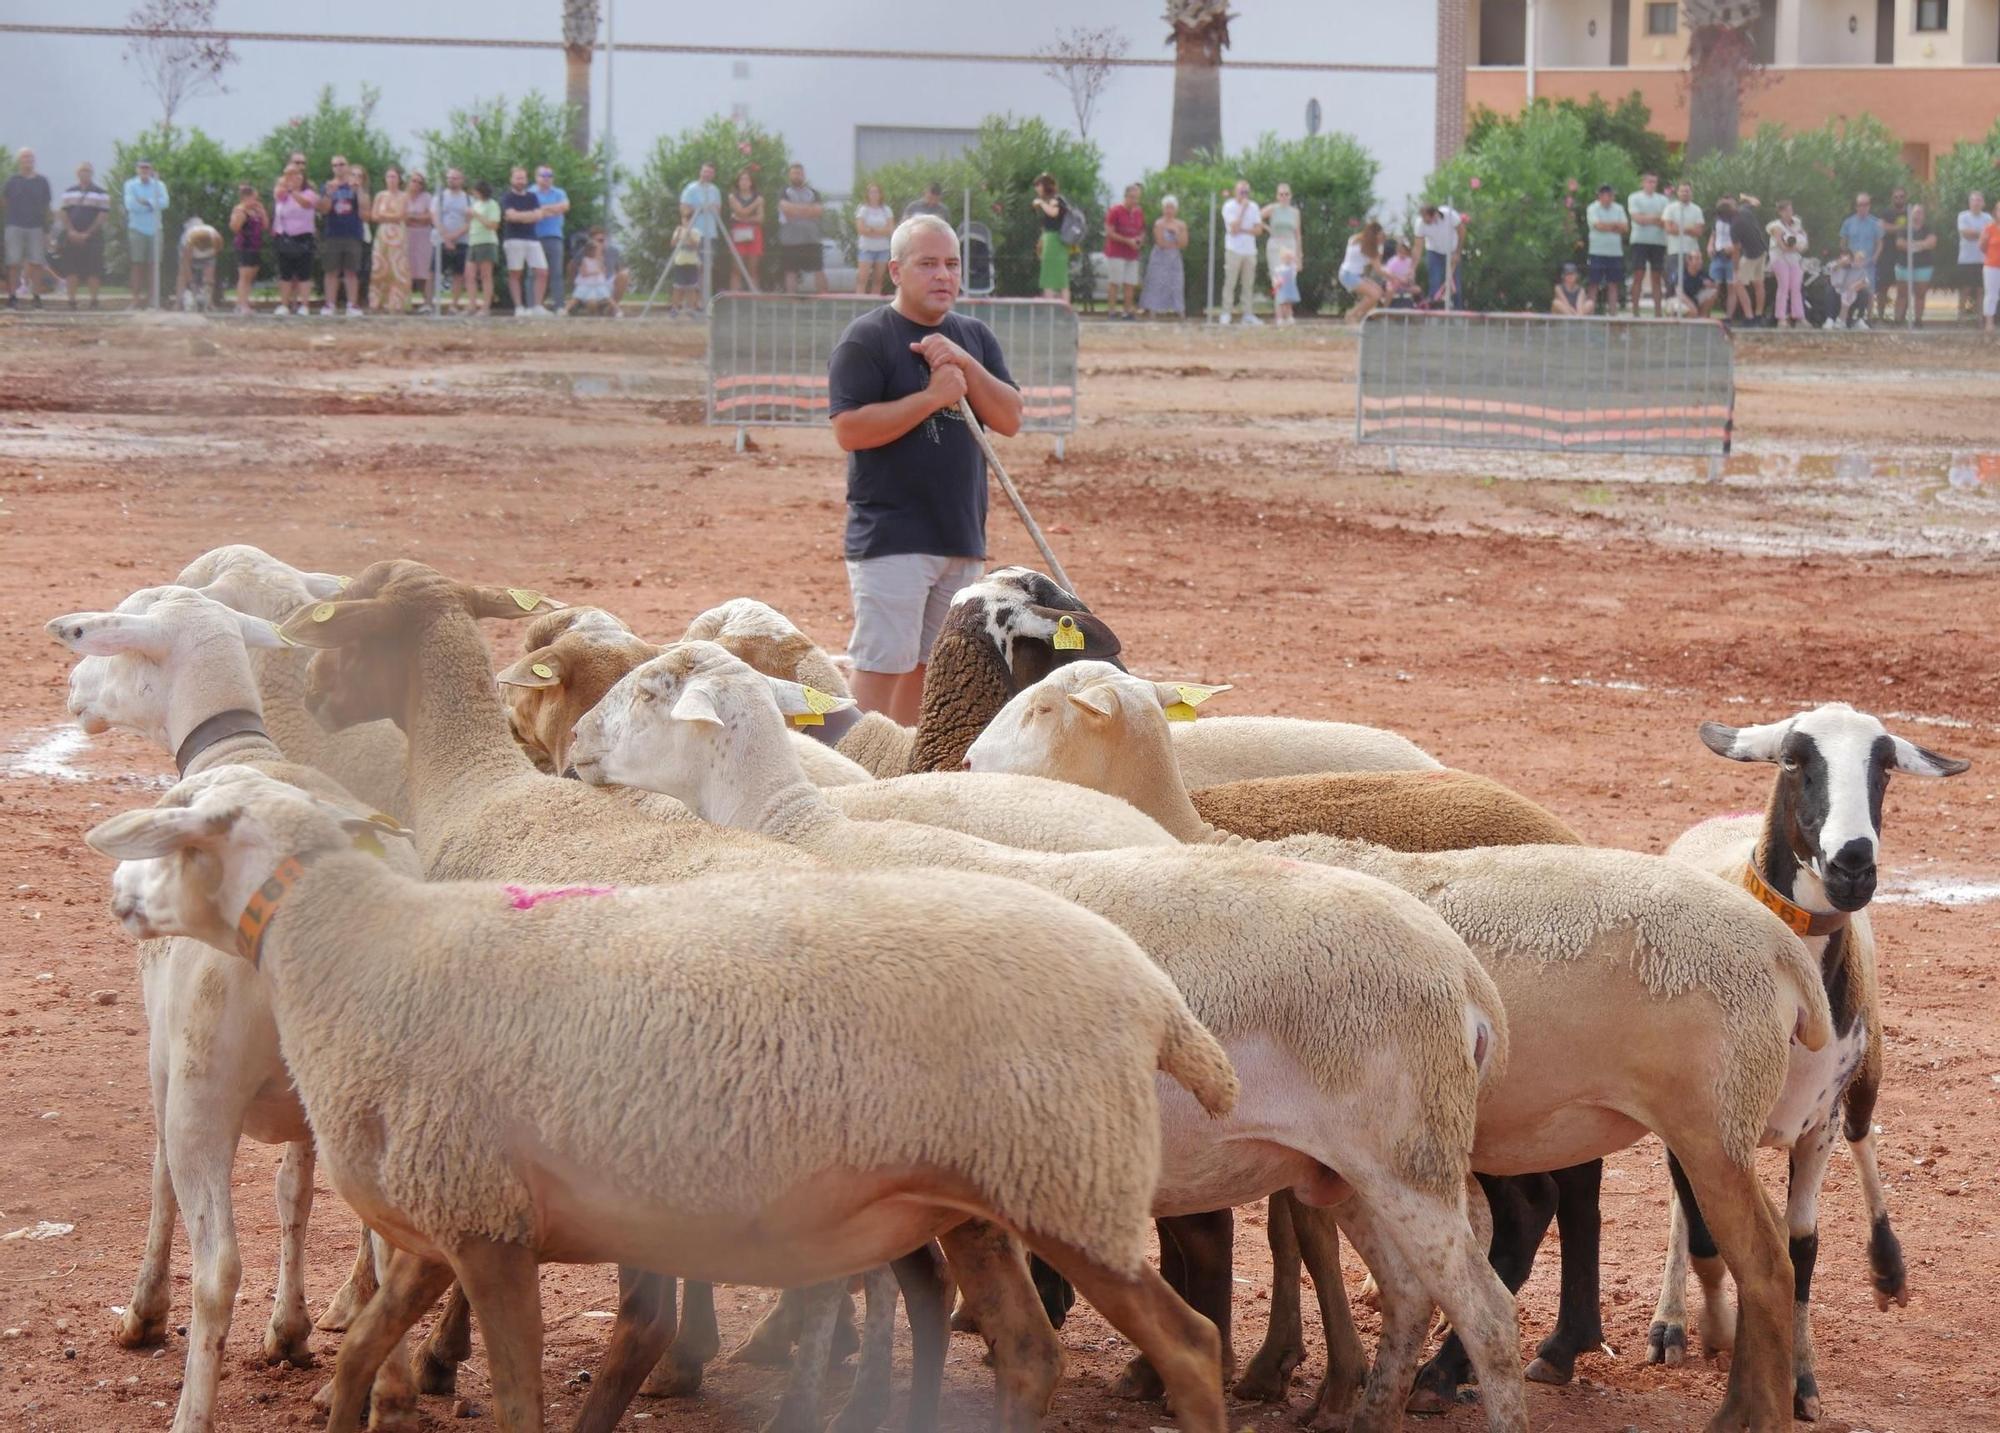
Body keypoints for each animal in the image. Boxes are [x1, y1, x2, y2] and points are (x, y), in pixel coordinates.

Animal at [44, 584, 418, 1433]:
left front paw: (143, 1313)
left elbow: (157, 1184)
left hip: (203, 1084)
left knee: (217, 1268)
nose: (74, 689)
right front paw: (290, 1330)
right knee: (392, 1247)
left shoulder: (166, 1061)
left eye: (120, 642)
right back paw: (390, 1393)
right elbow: (294, 1191)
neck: (238, 752)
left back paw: (193, 1408)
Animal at [94, 772, 1240, 1433]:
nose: (118, 901)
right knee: (1027, 1351)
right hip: (982, 1198)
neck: (351, 951)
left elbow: (516, 1399)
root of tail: (1154, 994)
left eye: (177, 841)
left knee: (1185, 1344)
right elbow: (358, 1358)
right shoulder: (440, 1219)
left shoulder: (486, 1225)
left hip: (1073, 1183)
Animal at [576, 644, 1528, 1433]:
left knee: (1486, 1314)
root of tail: (1465, 974)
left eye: (652, 691)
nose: (576, 743)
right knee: (1409, 1298)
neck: (803, 834)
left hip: (1407, 1155)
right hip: (1346, 1166)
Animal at [968, 664, 1840, 1433]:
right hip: (1680, 1124)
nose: (968, 763)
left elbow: (1304, 1242)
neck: (1199, 837)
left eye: (1043, 708)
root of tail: (1778, 946)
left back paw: (1742, 1410)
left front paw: (1315, 1384)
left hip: (1708, 1121)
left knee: (1764, 1263)